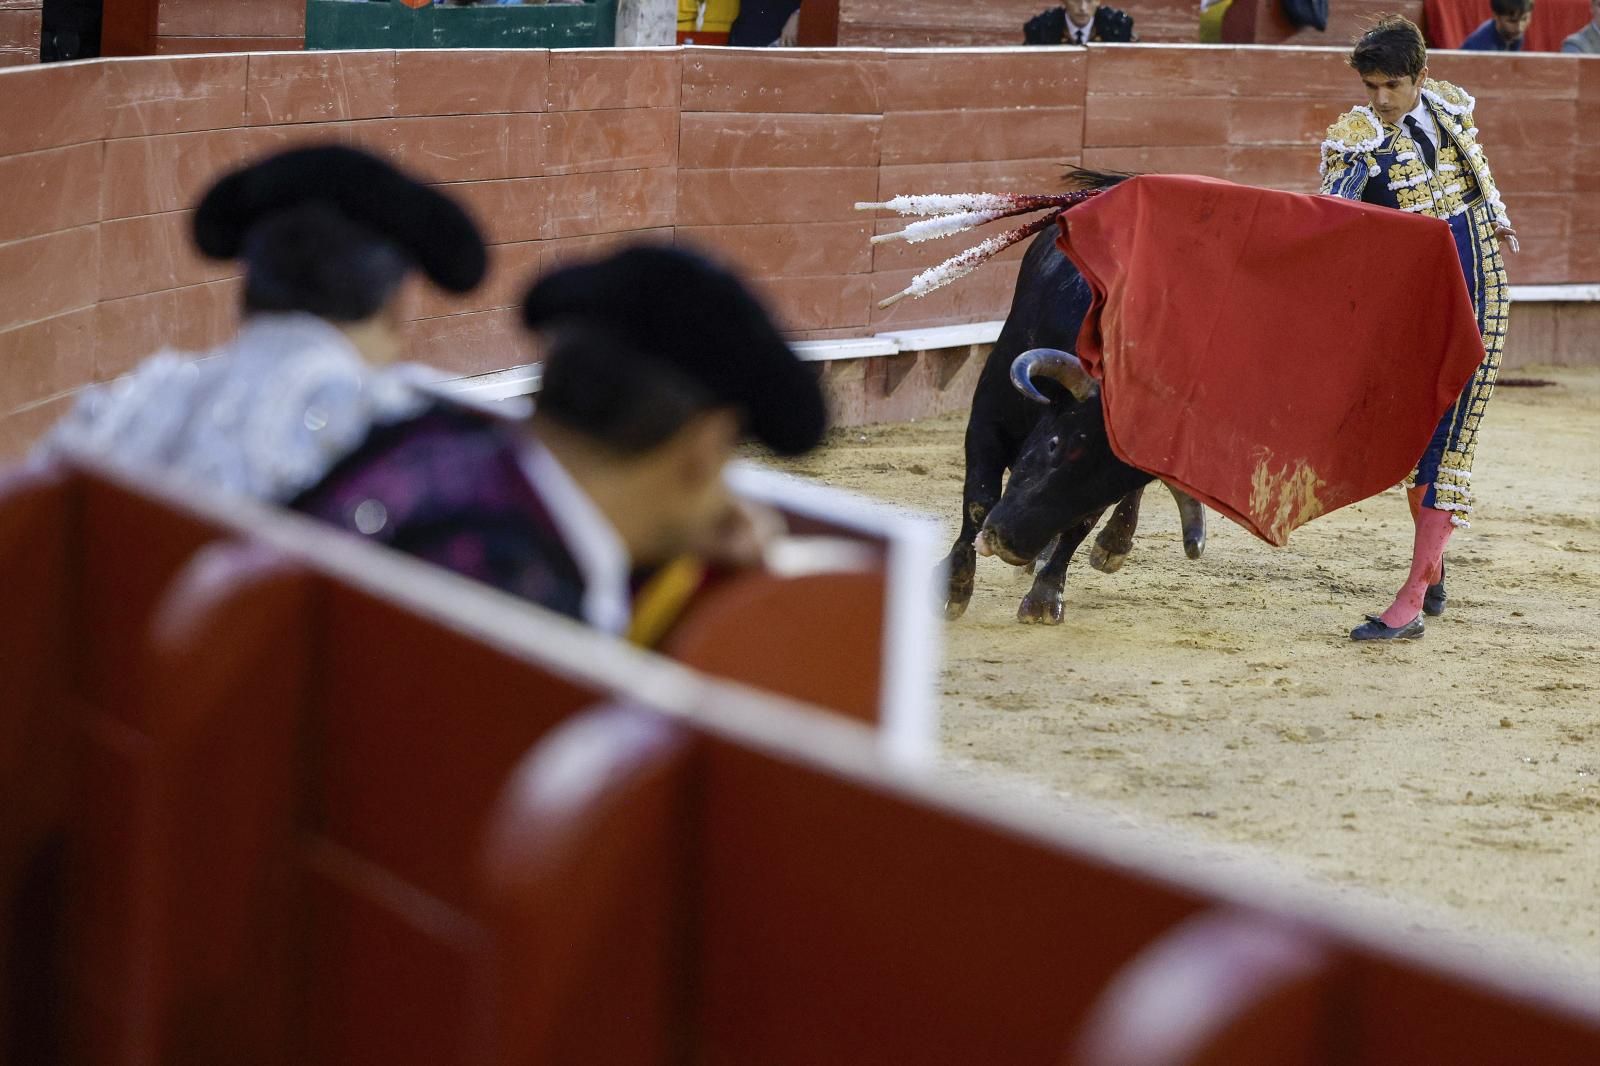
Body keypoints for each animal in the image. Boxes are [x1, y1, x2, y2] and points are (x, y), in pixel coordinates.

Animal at [934, 225, 1203, 624]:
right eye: (1053, 444)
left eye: (1104, 490)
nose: (1010, 543)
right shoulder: (986, 422)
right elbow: (979, 501)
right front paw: (952, 586)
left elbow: (1079, 526)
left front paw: (1045, 598)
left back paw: (1111, 545)